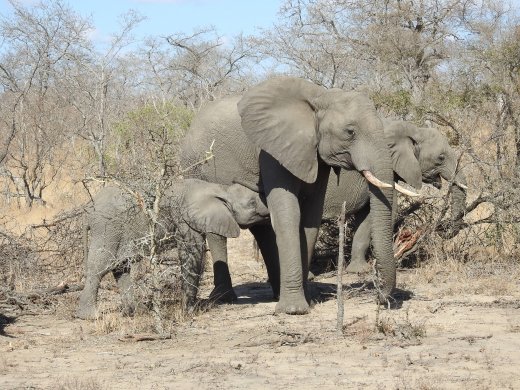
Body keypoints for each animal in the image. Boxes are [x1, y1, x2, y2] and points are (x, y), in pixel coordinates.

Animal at [75, 180, 270, 320]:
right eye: (252, 203)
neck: (222, 189)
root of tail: (88, 208)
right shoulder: (185, 218)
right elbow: (192, 252)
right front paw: (188, 311)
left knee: (121, 267)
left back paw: (135, 312)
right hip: (108, 228)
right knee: (100, 267)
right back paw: (90, 316)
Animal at [183, 76, 402, 314]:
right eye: (350, 132)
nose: (379, 300)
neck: (319, 98)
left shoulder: (314, 154)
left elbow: (310, 218)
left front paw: (310, 300)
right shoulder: (271, 149)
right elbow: (288, 215)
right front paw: (294, 310)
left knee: (262, 229)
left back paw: (276, 293)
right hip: (197, 167)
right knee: (217, 230)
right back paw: (225, 298)